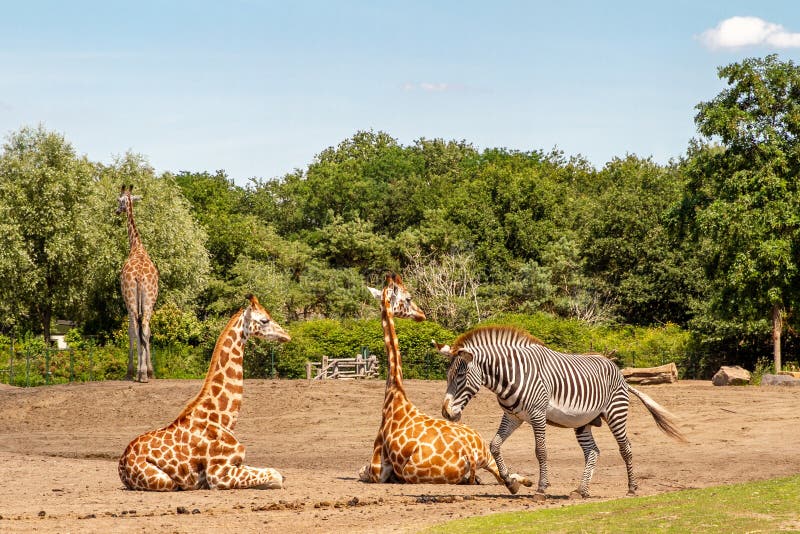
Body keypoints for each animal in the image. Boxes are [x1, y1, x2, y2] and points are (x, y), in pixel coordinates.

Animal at [117, 296, 292, 492]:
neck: (223, 419)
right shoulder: (218, 474)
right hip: (166, 481)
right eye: (264, 320)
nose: (287, 336)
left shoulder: (236, 464)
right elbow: (276, 476)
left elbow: (277, 474)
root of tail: (121, 464)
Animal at [358, 274, 532, 496]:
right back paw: (524, 481)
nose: (421, 314)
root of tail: (469, 454)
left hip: (411, 473)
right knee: (504, 477)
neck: (394, 396)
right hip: (485, 452)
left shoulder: (376, 470)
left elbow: (361, 471)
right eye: (408, 298)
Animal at [434, 328, 684, 500]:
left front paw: (541, 489)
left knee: (626, 448)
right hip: (584, 422)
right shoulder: (513, 416)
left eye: (460, 376)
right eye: (447, 376)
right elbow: (494, 445)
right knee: (592, 452)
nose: (446, 412)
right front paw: (510, 482)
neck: (510, 376)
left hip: (616, 413)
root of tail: (619, 372)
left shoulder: (537, 415)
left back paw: (631, 488)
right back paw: (581, 490)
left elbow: (541, 451)